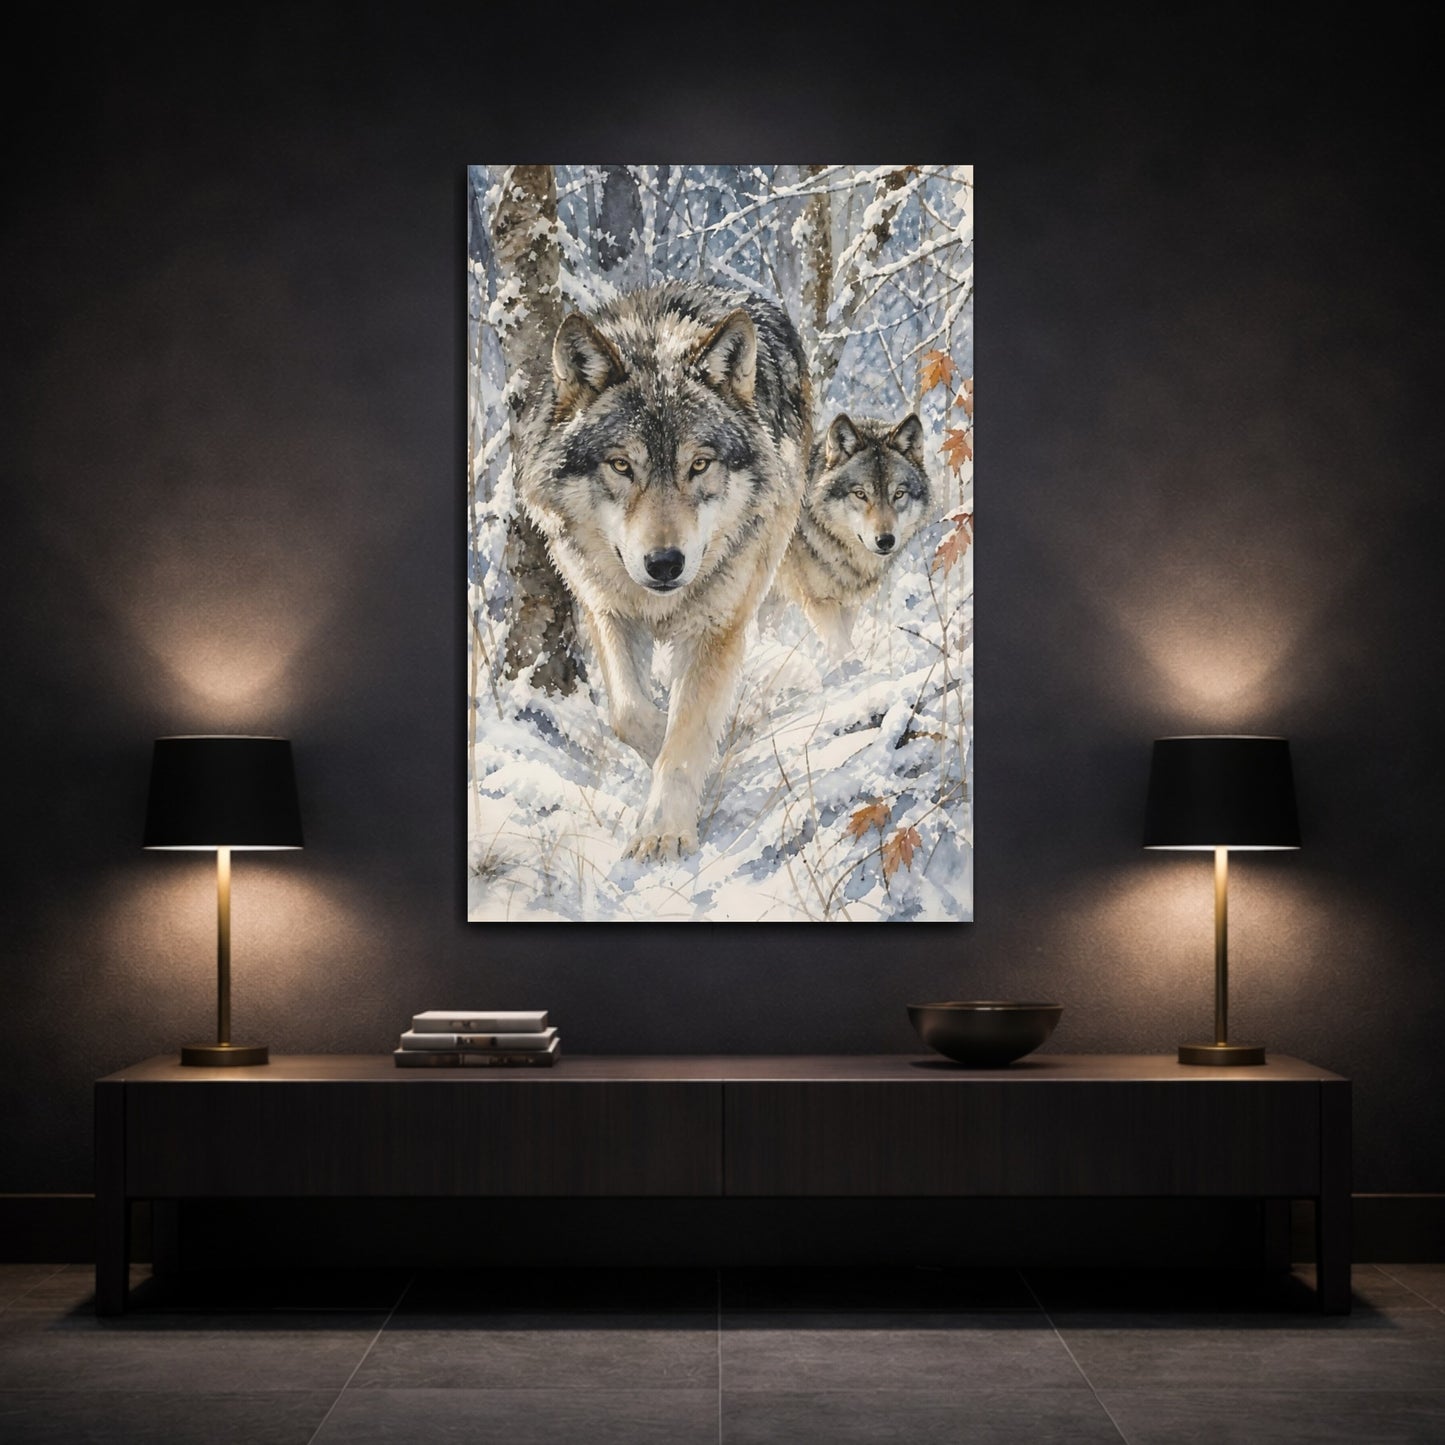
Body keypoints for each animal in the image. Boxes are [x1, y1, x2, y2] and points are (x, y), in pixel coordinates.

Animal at [514, 281, 810, 861]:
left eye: (698, 465)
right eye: (621, 465)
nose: (666, 563)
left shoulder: (716, 626)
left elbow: (686, 733)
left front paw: (664, 831)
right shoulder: (605, 609)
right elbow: (631, 716)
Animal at [775, 413, 935, 658]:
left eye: (899, 494)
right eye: (860, 494)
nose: (885, 540)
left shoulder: (850, 604)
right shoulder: (820, 602)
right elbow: (841, 647)